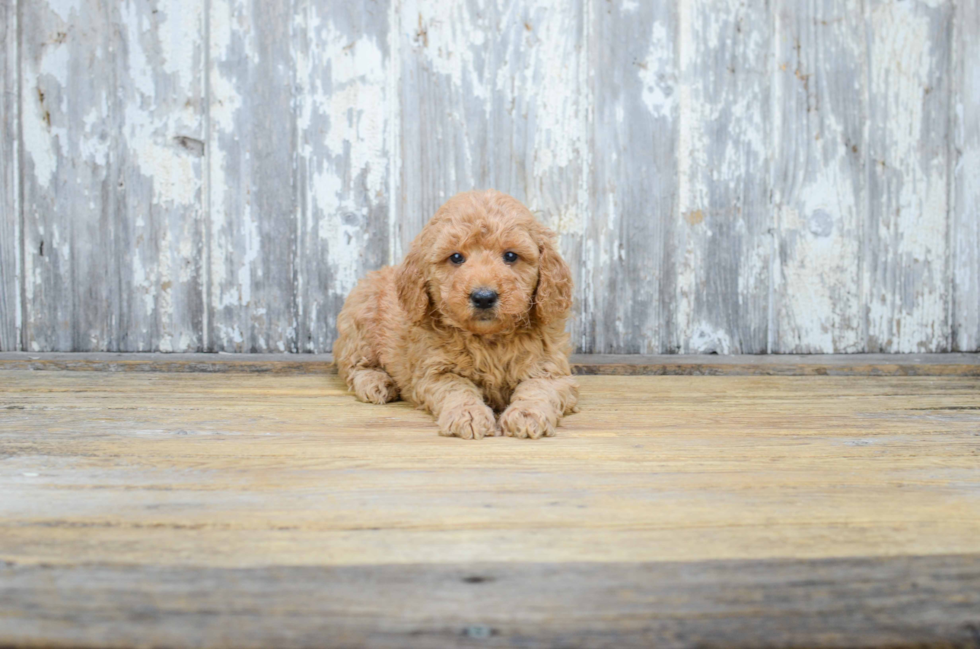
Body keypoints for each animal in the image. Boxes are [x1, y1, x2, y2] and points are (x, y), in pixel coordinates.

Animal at [334, 190, 580, 438]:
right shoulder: (435, 371)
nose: (484, 297)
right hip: (360, 322)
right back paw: (376, 382)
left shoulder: (551, 368)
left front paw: (527, 414)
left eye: (511, 256)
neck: (490, 339)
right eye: (456, 258)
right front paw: (468, 414)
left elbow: (538, 388)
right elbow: (457, 388)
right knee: (353, 366)